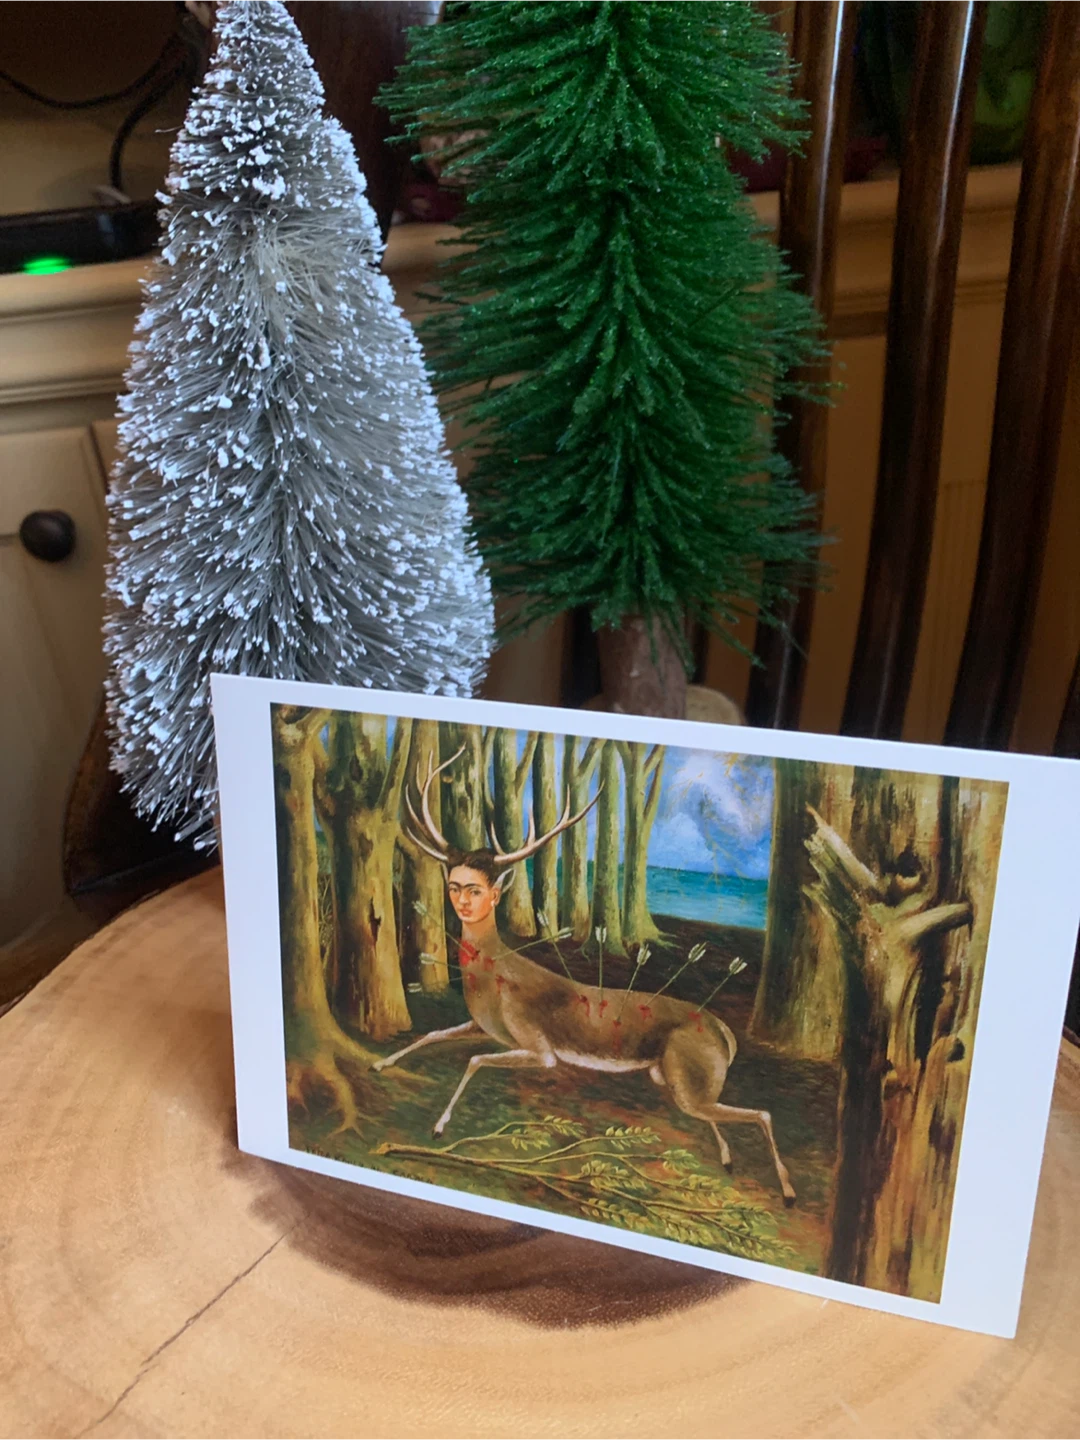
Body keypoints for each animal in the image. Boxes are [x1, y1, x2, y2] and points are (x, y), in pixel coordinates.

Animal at [374, 747, 796, 1205]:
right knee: (716, 1113)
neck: (492, 978)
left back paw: (788, 1189)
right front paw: (382, 1063)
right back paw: (727, 1158)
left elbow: (474, 1060)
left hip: (691, 1074)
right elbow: (434, 1034)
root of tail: (725, 1032)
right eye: (454, 884)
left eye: (475, 888)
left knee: (763, 1112)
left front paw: (438, 1126)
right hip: (672, 1077)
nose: (461, 904)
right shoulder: (485, 1026)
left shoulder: (538, 1046)